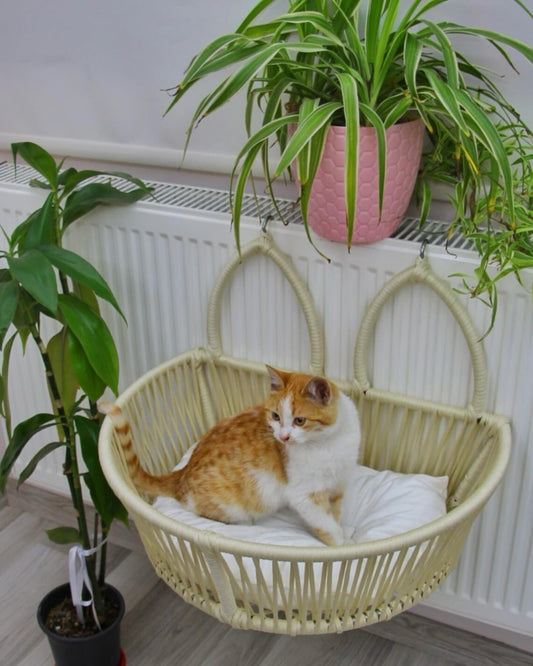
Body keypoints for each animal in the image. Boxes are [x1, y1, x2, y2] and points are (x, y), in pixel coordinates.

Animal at [100, 364, 360, 544]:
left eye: (300, 420)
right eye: (275, 416)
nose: (283, 437)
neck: (327, 443)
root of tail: (181, 474)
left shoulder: (338, 483)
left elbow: (335, 514)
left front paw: (343, 530)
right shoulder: (305, 495)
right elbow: (324, 523)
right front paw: (340, 544)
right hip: (234, 507)